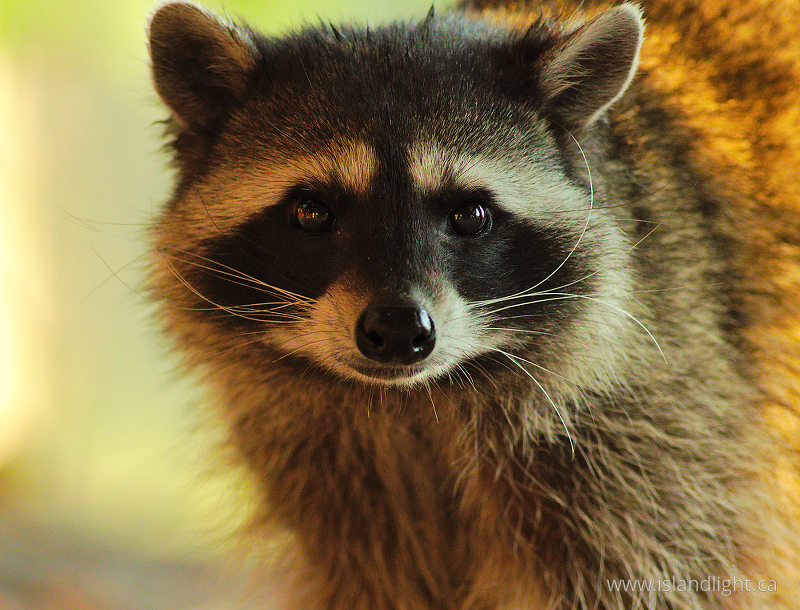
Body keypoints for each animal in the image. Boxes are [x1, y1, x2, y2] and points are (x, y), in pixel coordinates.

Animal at [147, 0, 800, 608]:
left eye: (471, 215)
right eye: (312, 212)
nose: (398, 329)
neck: (412, 406)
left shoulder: (658, 435)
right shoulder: (334, 483)